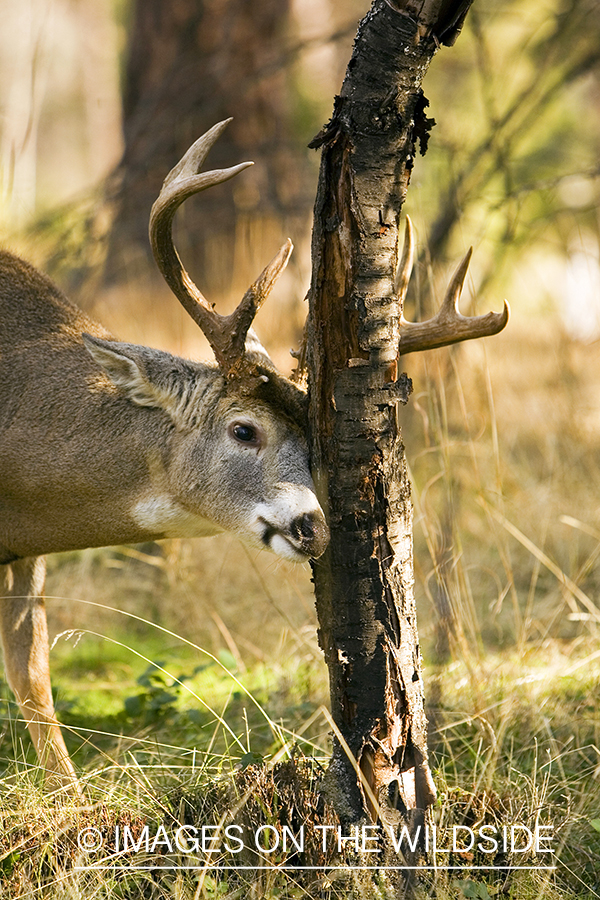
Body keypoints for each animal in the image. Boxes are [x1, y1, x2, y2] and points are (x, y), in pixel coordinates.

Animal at [0, 121, 328, 796]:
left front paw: (71, 803)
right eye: (244, 430)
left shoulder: (23, 551)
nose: (314, 528)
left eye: (314, 442)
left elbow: (34, 679)